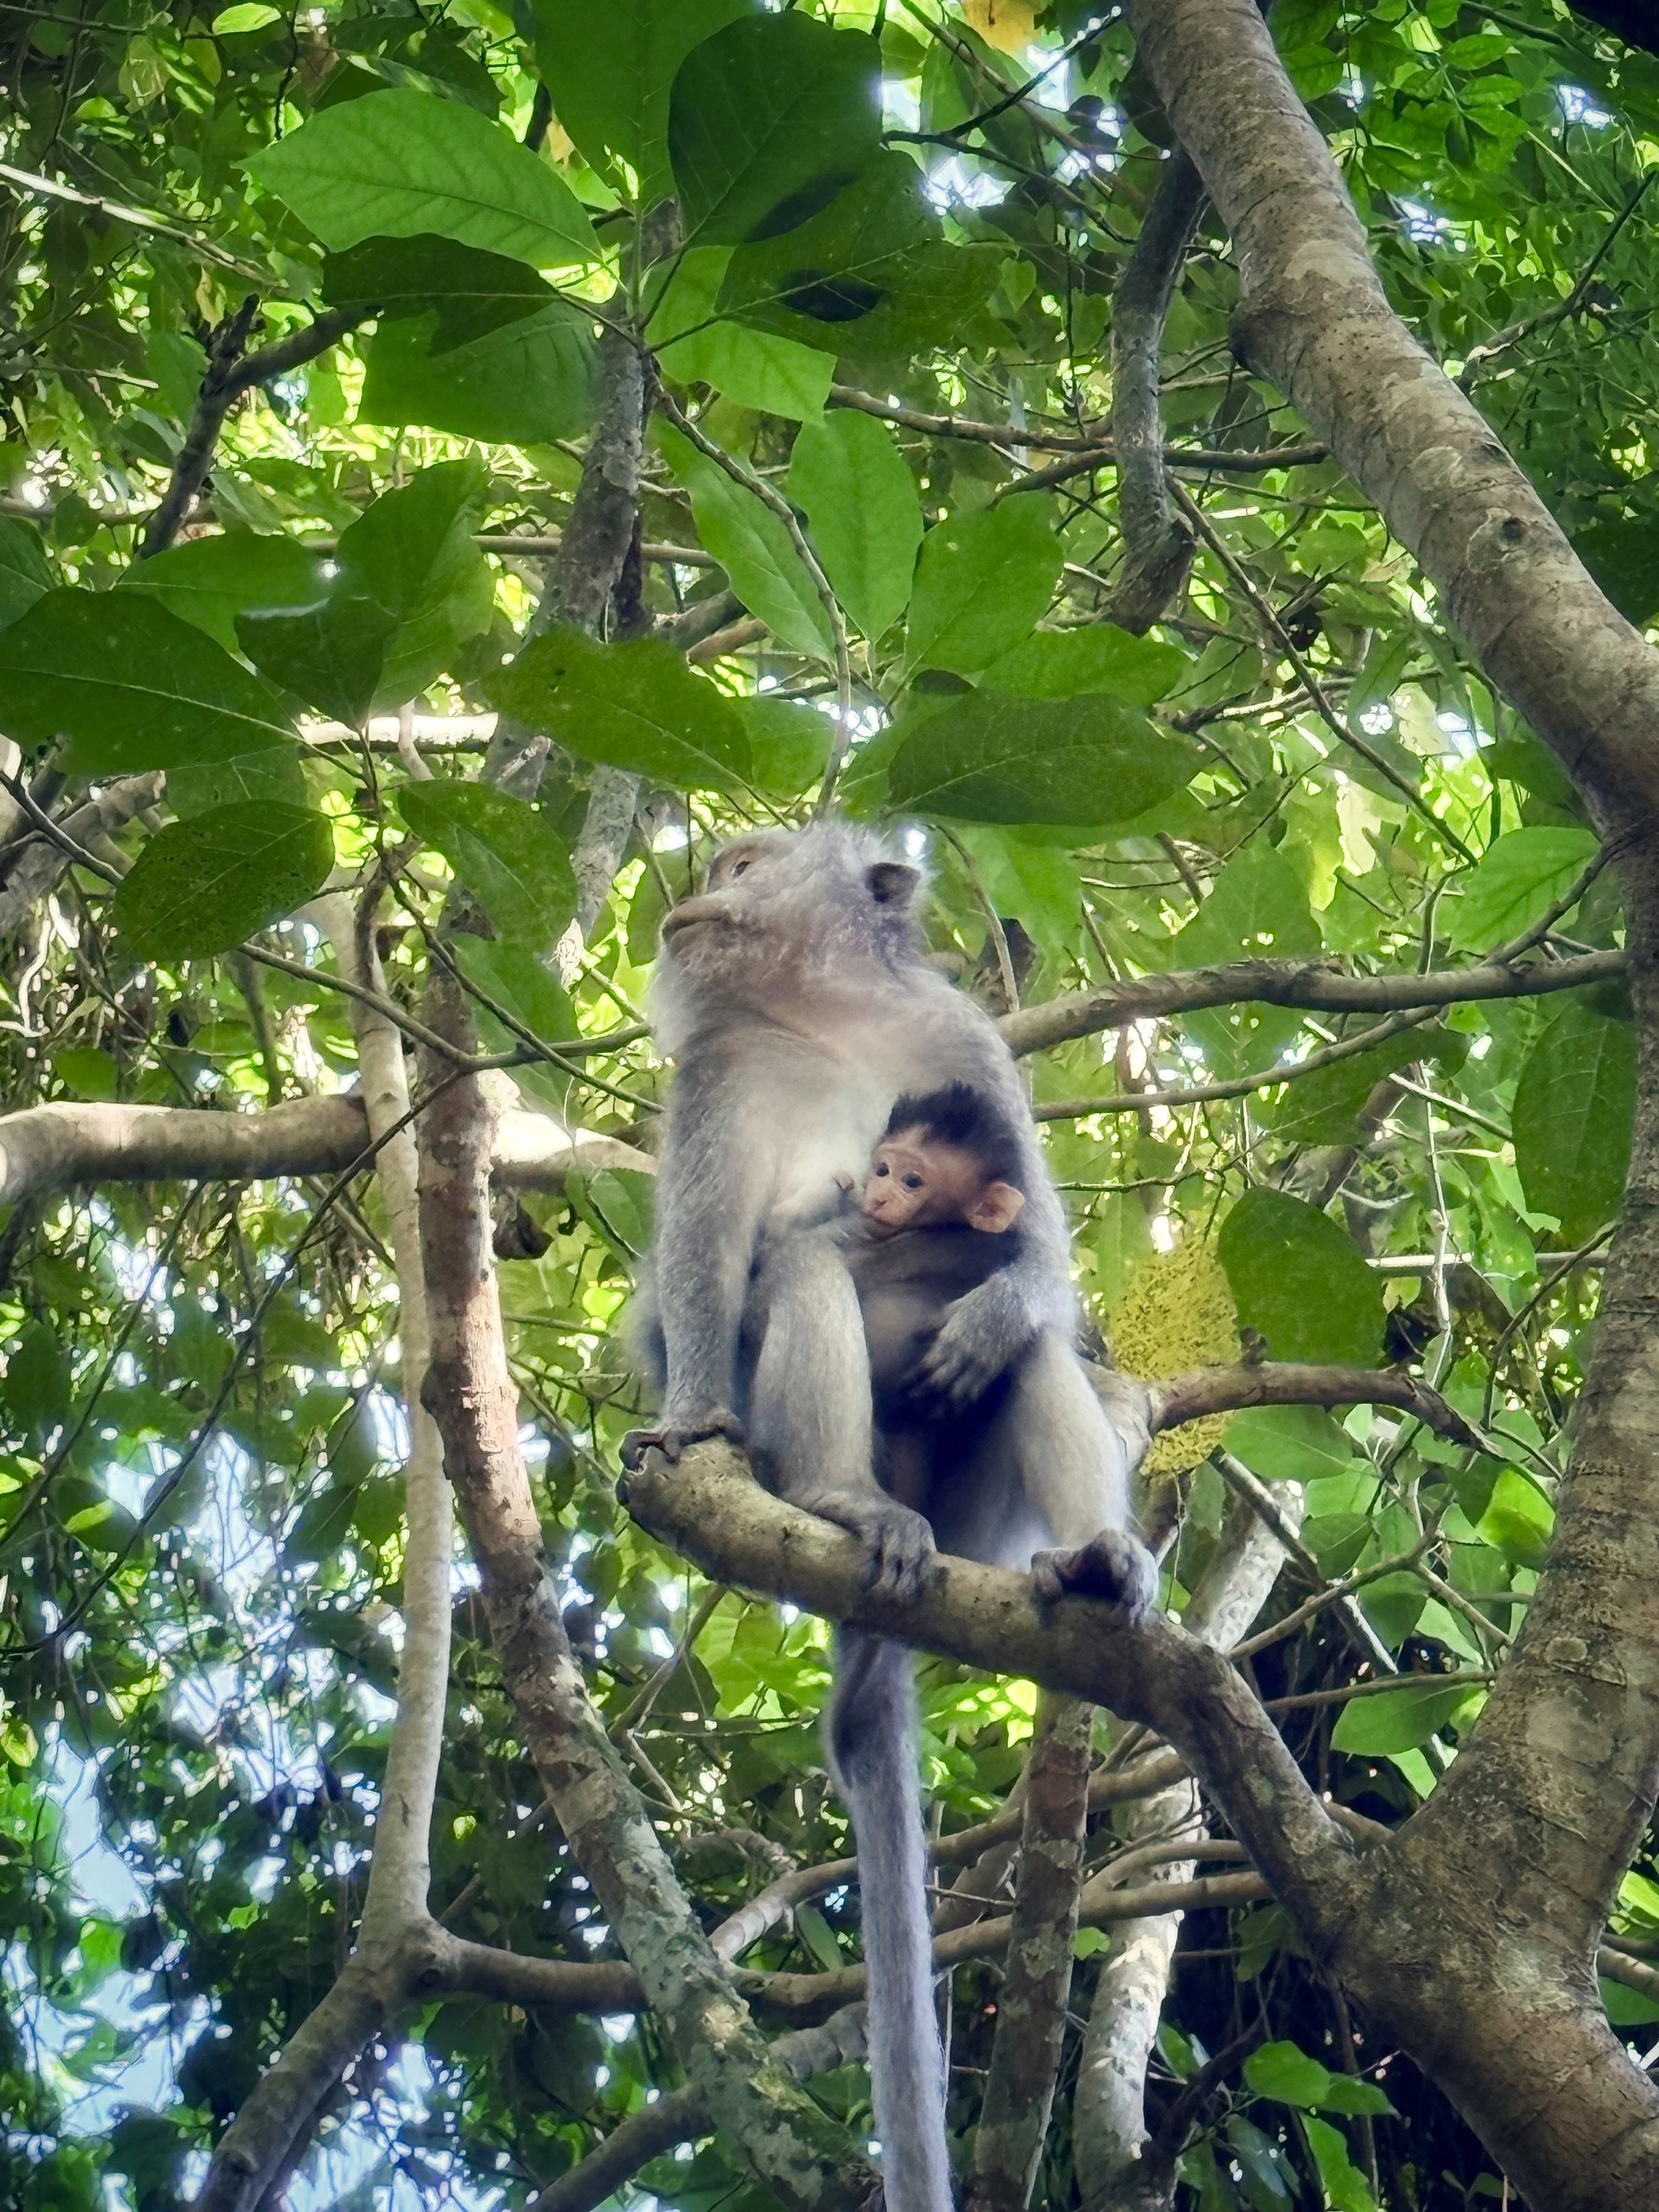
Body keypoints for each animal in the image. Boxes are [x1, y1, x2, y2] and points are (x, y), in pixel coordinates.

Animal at [623, 823, 1154, 2212]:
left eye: (747, 859)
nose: (695, 890)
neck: (824, 1009)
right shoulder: (718, 1070)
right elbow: (709, 1258)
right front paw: (688, 1415)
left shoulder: (960, 1037)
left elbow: (1041, 1245)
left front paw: (1003, 1296)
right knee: (803, 1273)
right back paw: (838, 1498)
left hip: (979, 1509)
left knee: (1032, 1361)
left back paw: (1093, 1552)